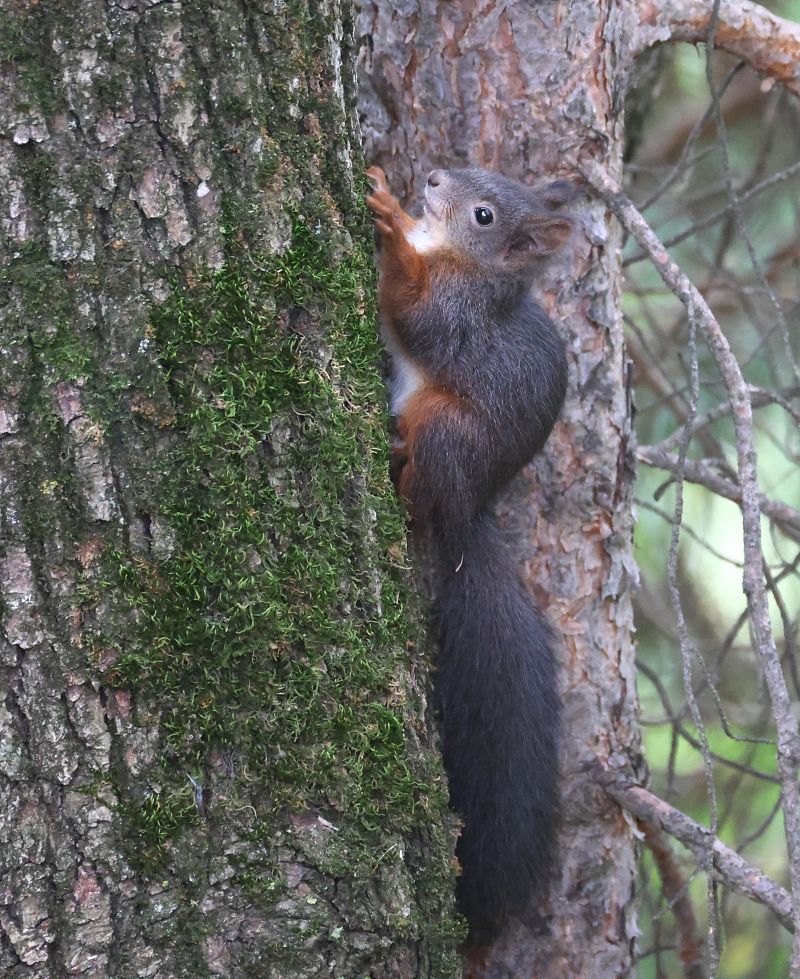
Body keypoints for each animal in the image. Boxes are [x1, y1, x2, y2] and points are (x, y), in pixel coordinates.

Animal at [366, 164, 573, 946]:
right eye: (478, 173)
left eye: (484, 215)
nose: (429, 177)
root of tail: (471, 507)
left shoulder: (459, 318)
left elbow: (417, 312)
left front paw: (392, 225)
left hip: (447, 431)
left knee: (423, 488)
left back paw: (399, 466)